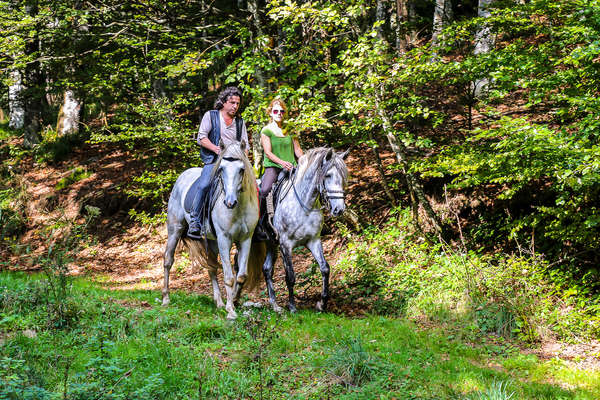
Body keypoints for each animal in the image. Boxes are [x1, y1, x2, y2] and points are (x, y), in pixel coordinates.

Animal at [162, 142, 262, 320]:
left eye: (241, 169)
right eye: (221, 169)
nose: (230, 202)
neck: (239, 208)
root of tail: (183, 175)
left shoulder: (245, 239)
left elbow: (241, 275)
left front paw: (233, 300)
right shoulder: (224, 239)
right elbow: (229, 277)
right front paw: (231, 310)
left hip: (211, 241)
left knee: (212, 267)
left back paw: (219, 302)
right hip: (175, 230)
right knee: (168, 260)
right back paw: (166, 298)